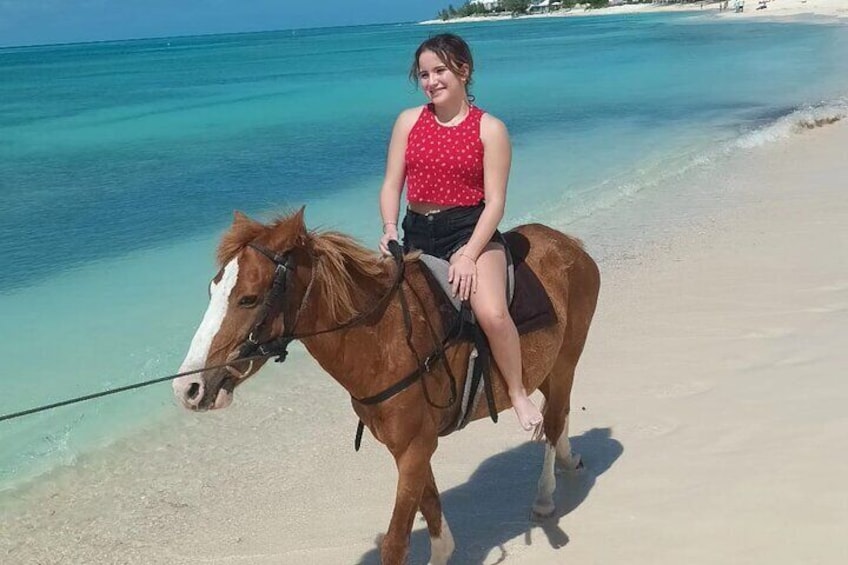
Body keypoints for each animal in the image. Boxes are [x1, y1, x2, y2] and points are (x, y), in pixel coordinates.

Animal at [172, 208, 600, 564]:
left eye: (248, 299)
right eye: (212, 290)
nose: (188, 388)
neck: (382, 338)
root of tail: (567, 244)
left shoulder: (414, 449)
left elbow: (396, 544)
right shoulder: (411, 449)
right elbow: (432, 515)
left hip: (566, 362)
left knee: (555, 418)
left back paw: (544, 497)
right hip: (545, 372)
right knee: (555, 414)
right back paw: (568, 458)